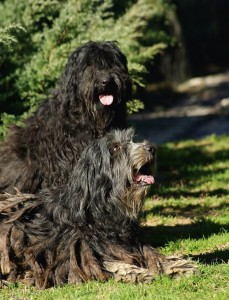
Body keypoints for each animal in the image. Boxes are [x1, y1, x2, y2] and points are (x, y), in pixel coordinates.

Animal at [0, 129, 197, 288]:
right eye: (116, 148)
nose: (151, 148)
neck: (101, 210)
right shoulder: (72, 256)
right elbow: (103, 265)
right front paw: (132, 272)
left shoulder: (130, 242)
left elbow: (151, 254)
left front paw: (175, 265)